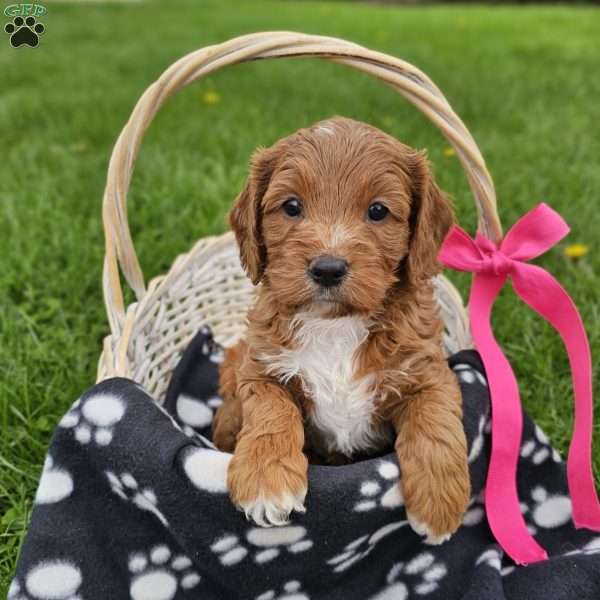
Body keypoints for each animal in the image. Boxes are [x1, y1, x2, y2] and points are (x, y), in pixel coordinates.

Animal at [213, 117, 472, 544]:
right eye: (292, 206)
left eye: (378, 211)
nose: (328, 268)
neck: (335, 324)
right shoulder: (261, 368)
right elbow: (271, 411)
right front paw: (267, 482)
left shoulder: (428, 373)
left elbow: (435, 423)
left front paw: (438, 506)